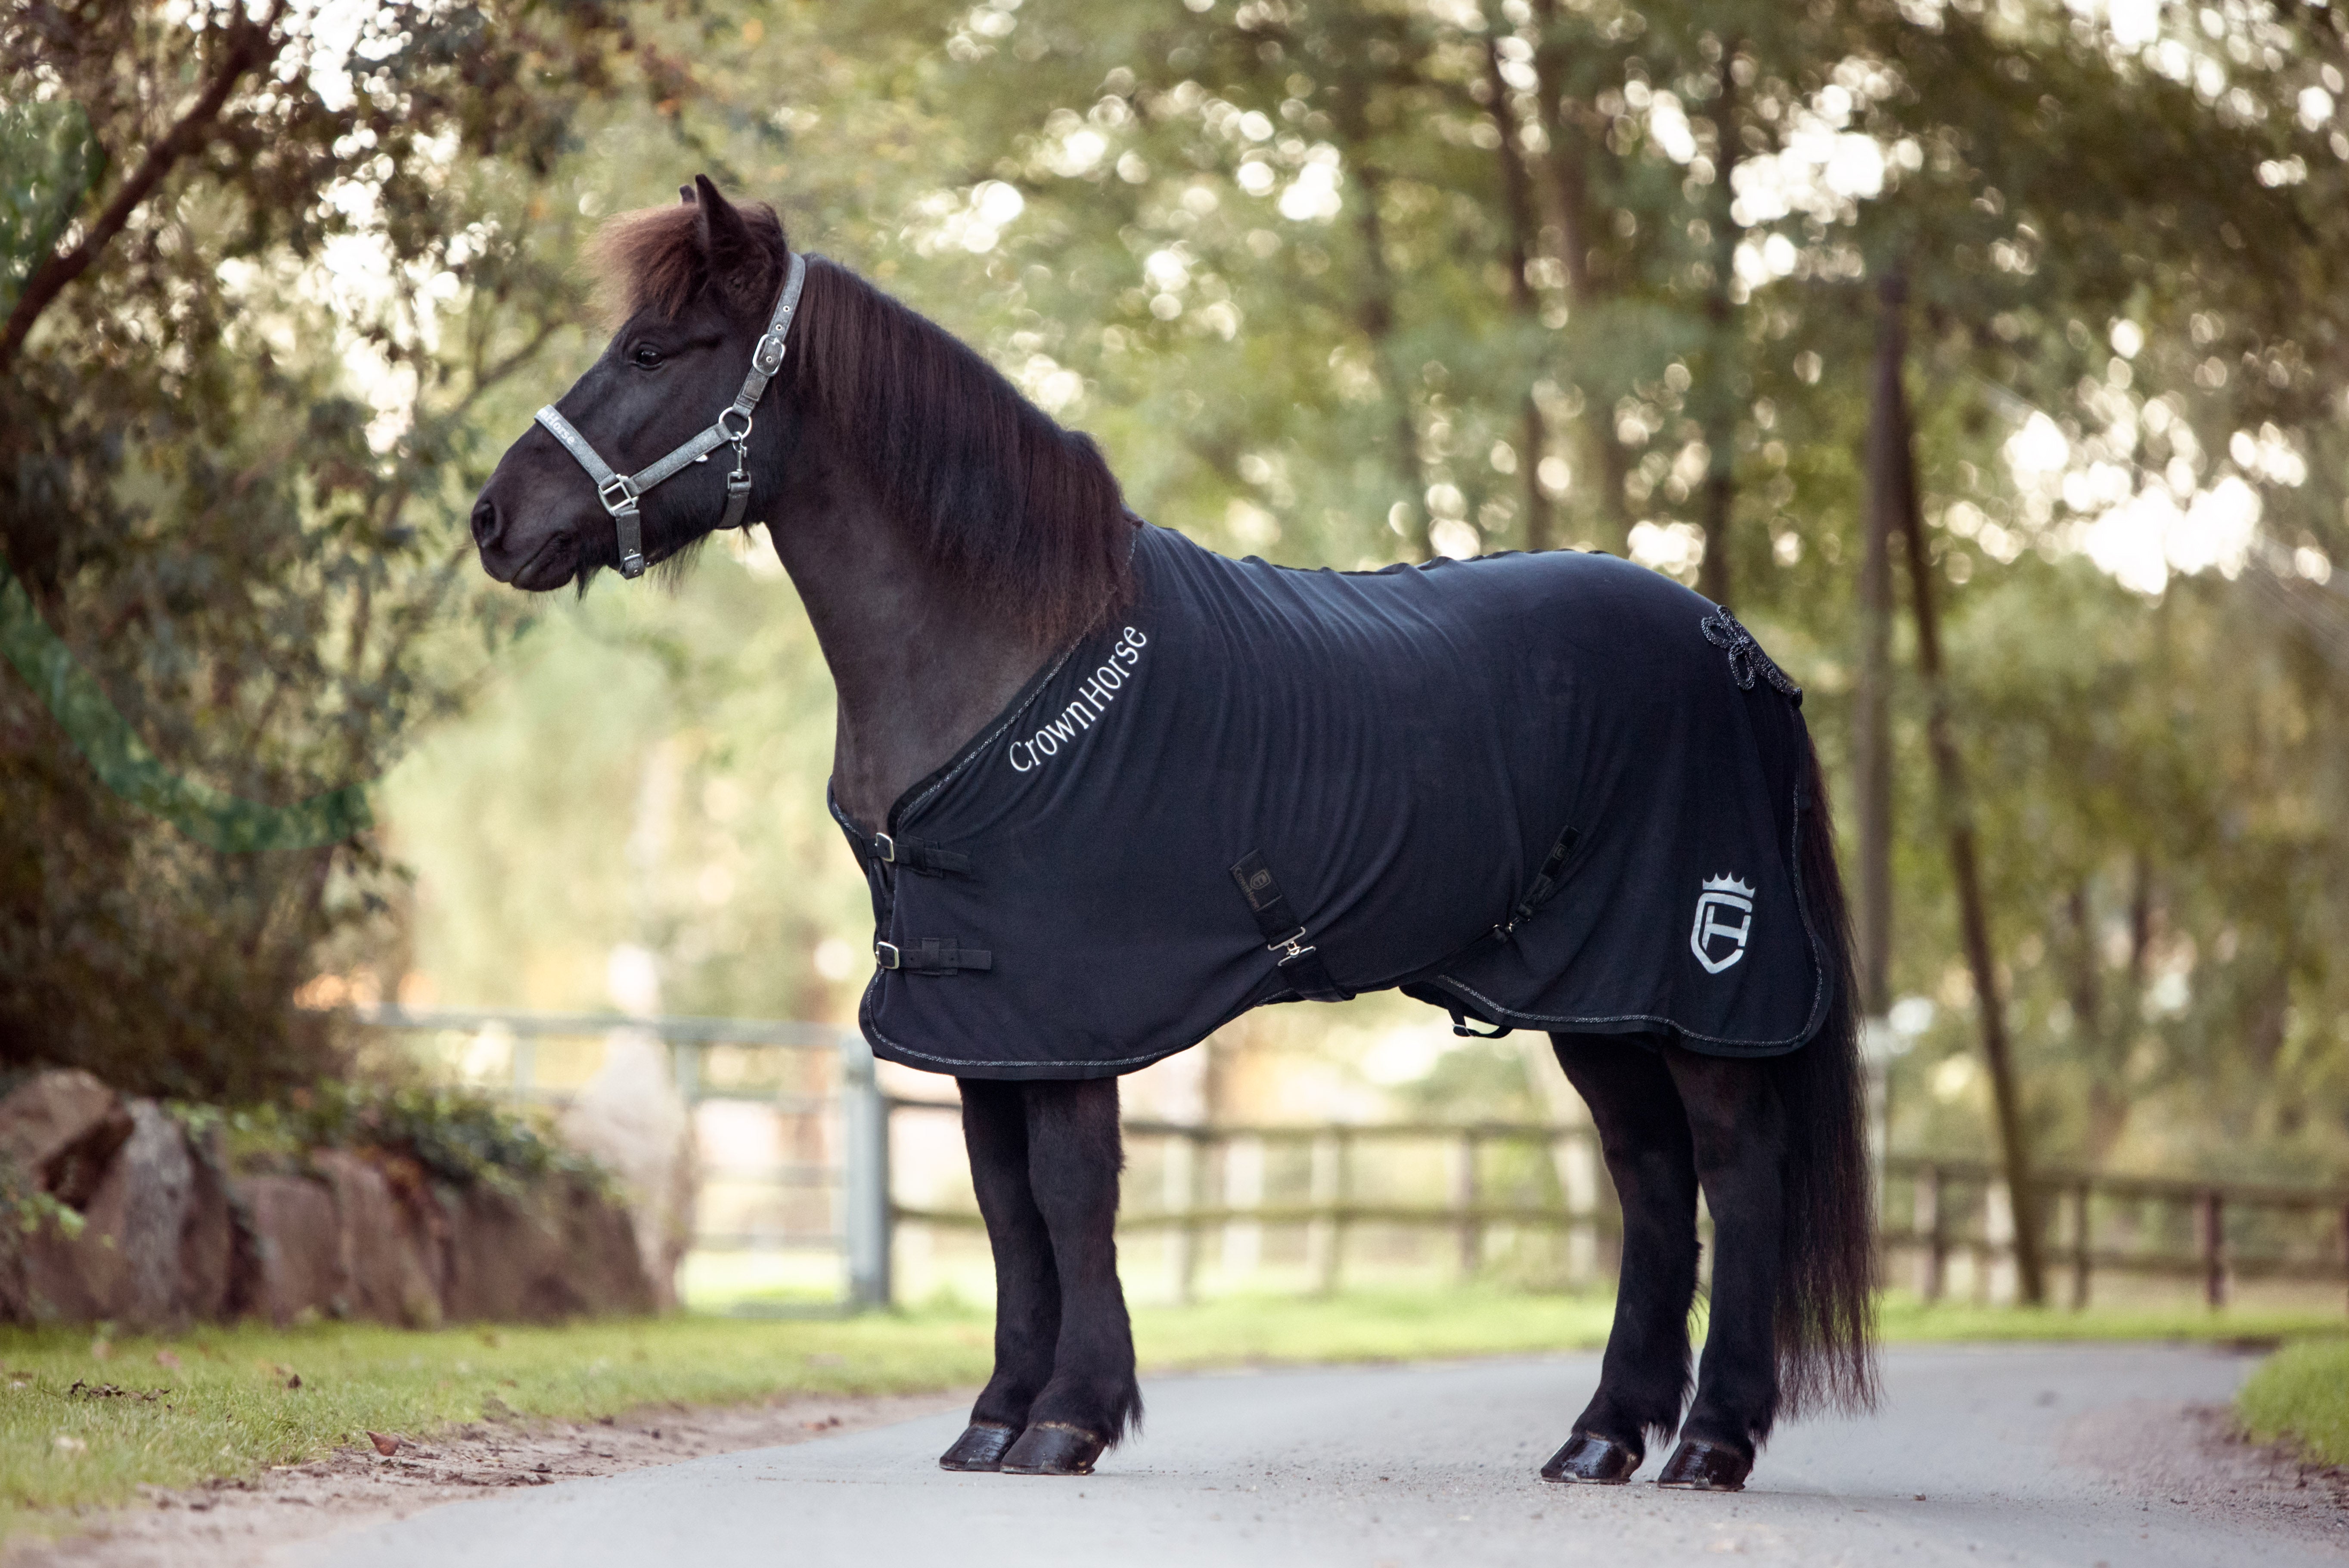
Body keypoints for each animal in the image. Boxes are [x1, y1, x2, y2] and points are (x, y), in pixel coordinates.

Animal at [470, 176, 1877, 1490]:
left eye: (655, 349)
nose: (494, 518)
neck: (1004, 646)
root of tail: (1739, 650)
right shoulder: (979, 1012)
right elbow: (1003, 1201)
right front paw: (995, 1417)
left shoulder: (1065, 1006)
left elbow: (1071, 1189)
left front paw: (1067, 1419)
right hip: (1600, 997)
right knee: (1651, 1177)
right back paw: (1602, 1436)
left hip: (1693, 975)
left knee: (1736, 1168)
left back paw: (1710, 1439)